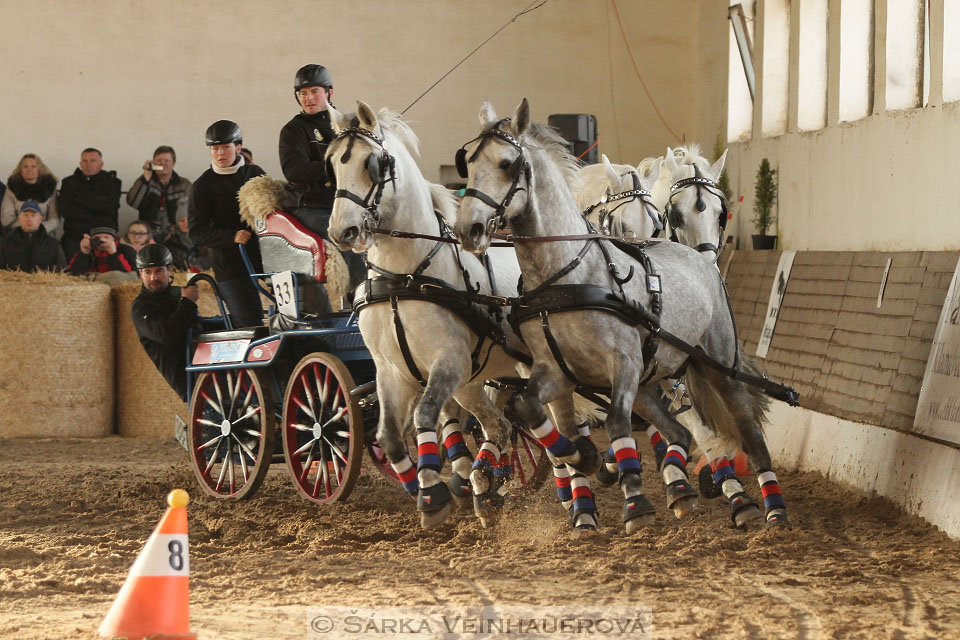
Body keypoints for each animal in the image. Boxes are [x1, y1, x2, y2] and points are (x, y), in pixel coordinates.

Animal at [322, 104, 596, 528]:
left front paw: (436, 494)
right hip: (483, 377)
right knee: (503, 424)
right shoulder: (391, 371)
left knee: (550, 421)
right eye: (333, 162)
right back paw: (493, 485)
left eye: (374, 163)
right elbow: (390, 437)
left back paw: (571, 493)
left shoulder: (448, 362)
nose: (342, 231)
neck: (406, 275)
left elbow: (424, 415)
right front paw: (431, 489)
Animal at [454, 99, 792, 528]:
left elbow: (627, 423)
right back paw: (485, 481)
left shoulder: (629, 365)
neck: (568, 273)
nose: (470, 227)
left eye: (721, 215)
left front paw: (657, 490)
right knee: (492, 417)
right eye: (469, 162)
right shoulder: (554, 370)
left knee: (745, 429)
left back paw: (770, 506)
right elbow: (538, 413)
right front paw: (590, 473)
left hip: (714, 366)